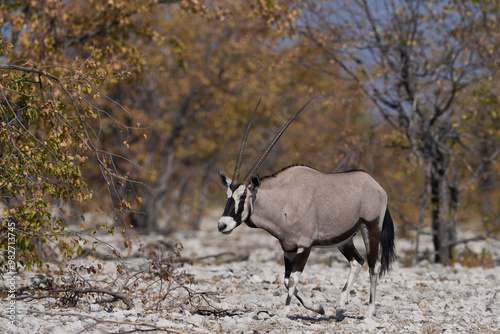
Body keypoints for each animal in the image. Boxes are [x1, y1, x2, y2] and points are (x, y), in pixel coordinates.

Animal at [217, 99, 396, 318]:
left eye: (243, 196)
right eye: (228, 196)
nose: (222, 225)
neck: (283, 200)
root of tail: (377, 186)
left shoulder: (305, 246)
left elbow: (293, 279)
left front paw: (285, 311)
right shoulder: (288, 248)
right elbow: (287, 280)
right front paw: (317, 306)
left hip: (371, 228)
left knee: (373, 265)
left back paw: (369, 311)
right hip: (344, 240)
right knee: (357, 261)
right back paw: (340, 304)